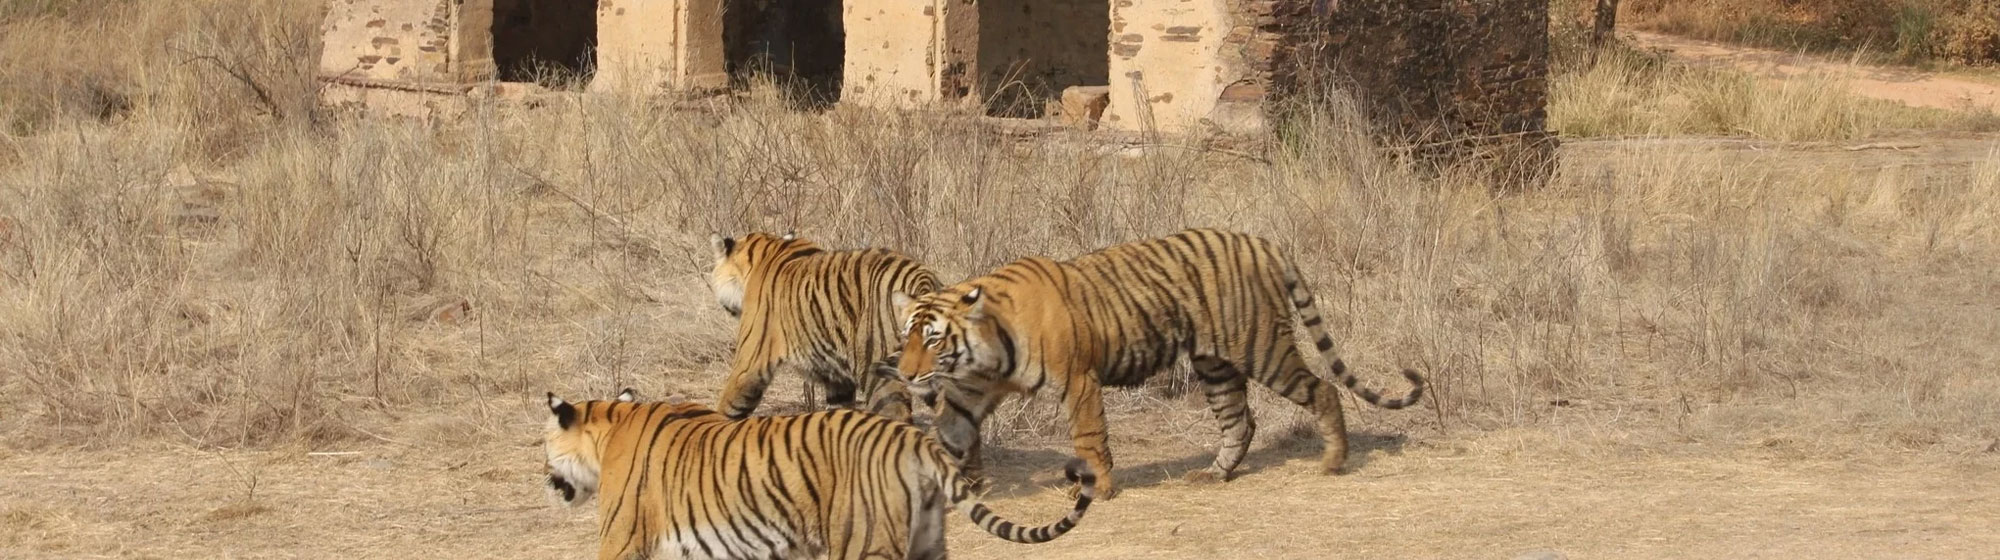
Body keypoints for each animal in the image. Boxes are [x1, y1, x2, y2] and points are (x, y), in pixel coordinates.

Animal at [542, 388, 1096, 560]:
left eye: (544, 447)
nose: (546, 478)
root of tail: (913, 437)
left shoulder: (622, 539)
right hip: (926, 540)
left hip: (863, 542)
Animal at [888, 228, 1425, 499]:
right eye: (907, 336)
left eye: (933, 340)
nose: (907, 374)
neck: (989, 341)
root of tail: (1261, 241)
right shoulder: (974, 387)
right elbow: (952, 431)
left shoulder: (1079, 381)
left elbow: (1089, 437)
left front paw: (1098, 489)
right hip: (1215, 364)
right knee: (1240, 421)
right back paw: (1213, 475)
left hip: (1260, 346)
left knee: (1321, 389)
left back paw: (1333, 462)